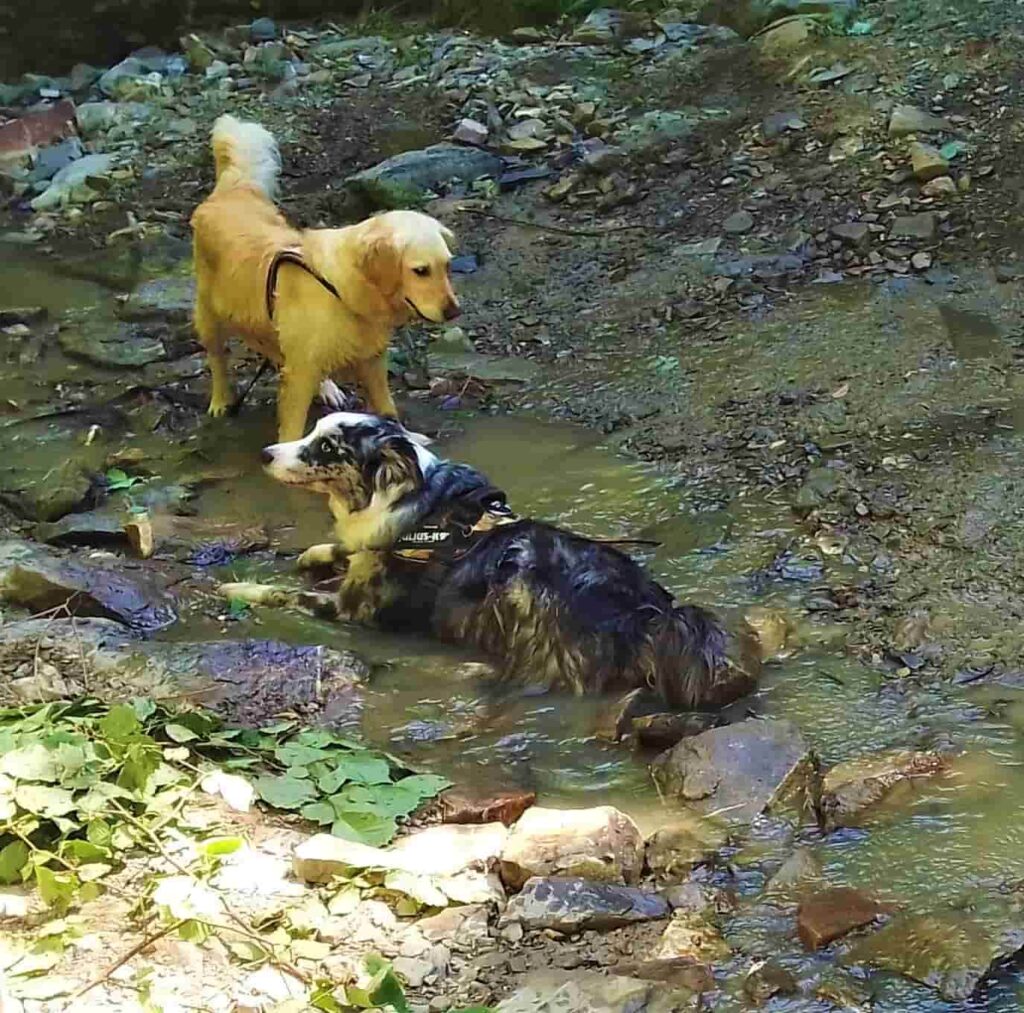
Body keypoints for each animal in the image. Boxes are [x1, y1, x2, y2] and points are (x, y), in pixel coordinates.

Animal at [189, 114, 460, 438]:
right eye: (421, 271)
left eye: (447, 266)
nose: (454, 312)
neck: (343, 287)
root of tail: (234, 189)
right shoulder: (300, 374)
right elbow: (291, 426)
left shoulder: (371, 359)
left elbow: (386, 407)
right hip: (210, 313)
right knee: (217, 357)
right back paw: (220, 401)